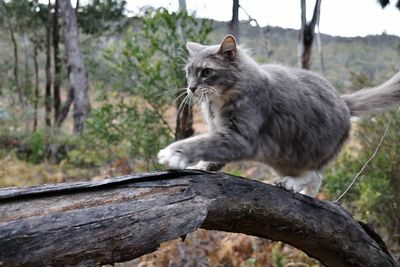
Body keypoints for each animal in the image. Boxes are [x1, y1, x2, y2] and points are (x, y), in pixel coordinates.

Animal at [157, 35, 400, 197]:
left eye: (206, 72)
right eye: (189, 72)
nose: (191, 88)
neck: (219, 102)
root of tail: (343, 101)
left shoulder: (239, 136)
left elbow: (201, 142)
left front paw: (174, 153)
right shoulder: (222, 131)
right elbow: (213, 154)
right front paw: (201, 166)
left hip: (293, 153)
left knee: (315, 175)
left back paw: (291, 184)